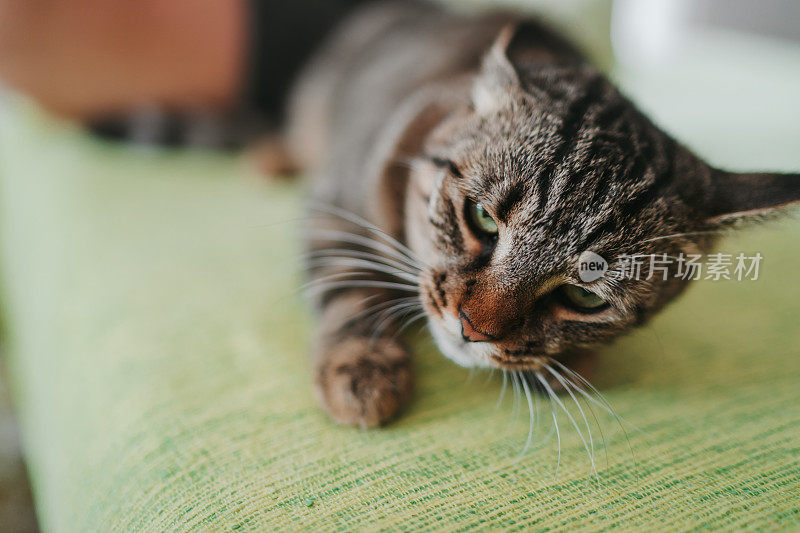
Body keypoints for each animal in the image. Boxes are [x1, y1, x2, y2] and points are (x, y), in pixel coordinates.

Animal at [274, 2, 792, 428]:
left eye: (585, 297)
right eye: (481, 218)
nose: (471, 329)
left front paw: (565, 368)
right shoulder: (337, 206)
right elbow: (349, 287)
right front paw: (363, 368)